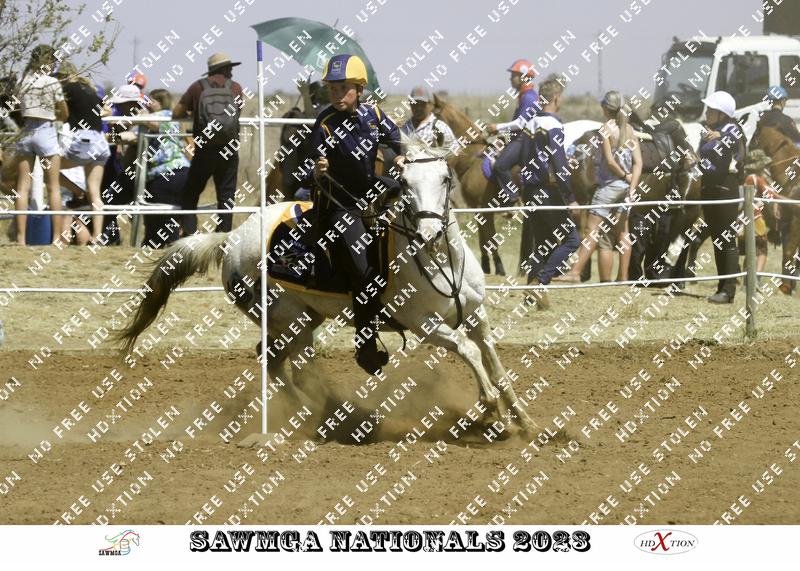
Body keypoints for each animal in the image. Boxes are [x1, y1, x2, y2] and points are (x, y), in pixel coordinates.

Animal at [117, 136, 539, 437]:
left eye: (445, 179)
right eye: (404, 183)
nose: (429, 234)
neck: (440, 263)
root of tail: (232, 240)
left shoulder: (477, 316)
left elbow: (494, 362)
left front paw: (527, 422)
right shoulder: (427, 326)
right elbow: (469, 351)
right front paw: (490, 410)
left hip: (299, 319)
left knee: (273, 362)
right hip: (291, 321)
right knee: (291, 368)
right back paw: (332, 415)